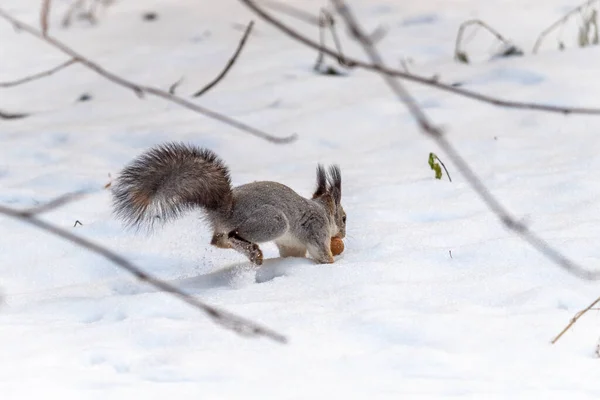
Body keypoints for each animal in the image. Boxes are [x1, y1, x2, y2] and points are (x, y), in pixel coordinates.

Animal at [112, 141, 346, 266]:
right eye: (344, 218)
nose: (343, 235)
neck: (322, 211)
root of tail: (225, 209)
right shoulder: (316, 231)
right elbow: (322, 254)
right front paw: (333, 263)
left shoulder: (291, 245)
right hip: (273, 222)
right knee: (234, 234)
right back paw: (252, 251)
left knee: (218, 240)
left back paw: (252, 254)